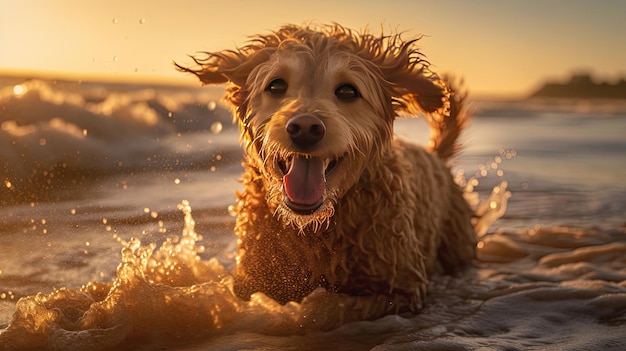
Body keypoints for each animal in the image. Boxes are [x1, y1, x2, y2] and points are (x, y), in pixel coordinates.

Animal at [176, 22, 472, 320]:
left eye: (348, 91)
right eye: (276, 85)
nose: (305, 128)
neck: (315, 228)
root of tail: (436, 155)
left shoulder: (401, 288)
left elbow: (335, 305)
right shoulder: (254, 279)